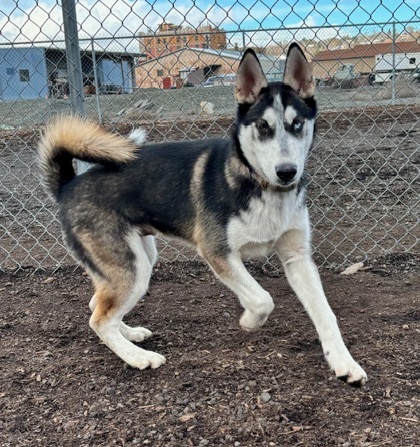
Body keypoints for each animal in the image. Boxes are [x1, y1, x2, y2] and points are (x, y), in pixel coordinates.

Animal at [39, 43, 368, 388]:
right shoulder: (217, 252)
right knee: (99, 319)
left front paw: (343, 362)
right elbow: (263, 299)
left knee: (98, 305)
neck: (259, 184)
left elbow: (325, 313)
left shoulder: (297, 257)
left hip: (136, 261)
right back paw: (139, 358)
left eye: (297, 124)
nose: (287, 171)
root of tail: (68, 183)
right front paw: (249, 320)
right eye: (263, 126)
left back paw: (131, 335)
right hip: (132, 267)